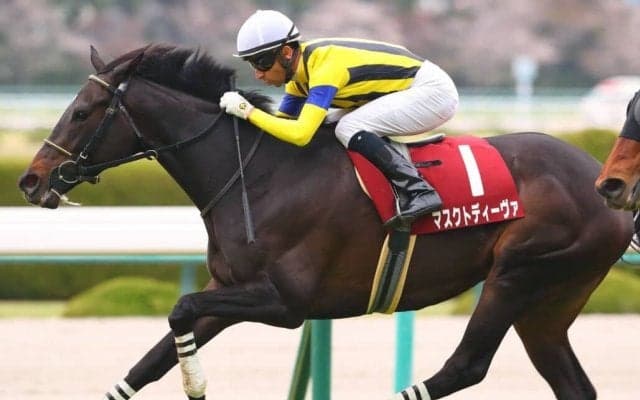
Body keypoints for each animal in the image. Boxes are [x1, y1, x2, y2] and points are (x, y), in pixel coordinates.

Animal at [18, 44, 632, 400]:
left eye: (81, 112)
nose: (30, 180)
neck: (256, 174)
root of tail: (599, 178)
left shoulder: (287, 302)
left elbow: (180, 308)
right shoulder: (231, 288)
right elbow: (156, 352)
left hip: (519, 272)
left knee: (466, 366)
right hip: (550, 301)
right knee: (570, 383)